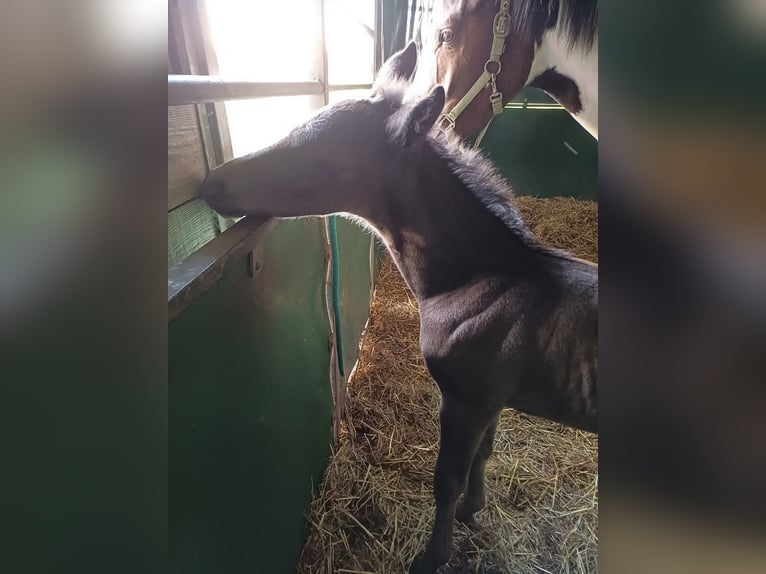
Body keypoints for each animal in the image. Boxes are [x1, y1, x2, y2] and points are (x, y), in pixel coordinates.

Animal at [201, 42, 596, 572]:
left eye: (320, 154)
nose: (212, 183)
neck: (480, 277)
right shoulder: (491, 400)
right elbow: (485, 453)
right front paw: (474, 510)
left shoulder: (466, 399)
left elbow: (447, 479)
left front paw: (432, 556)